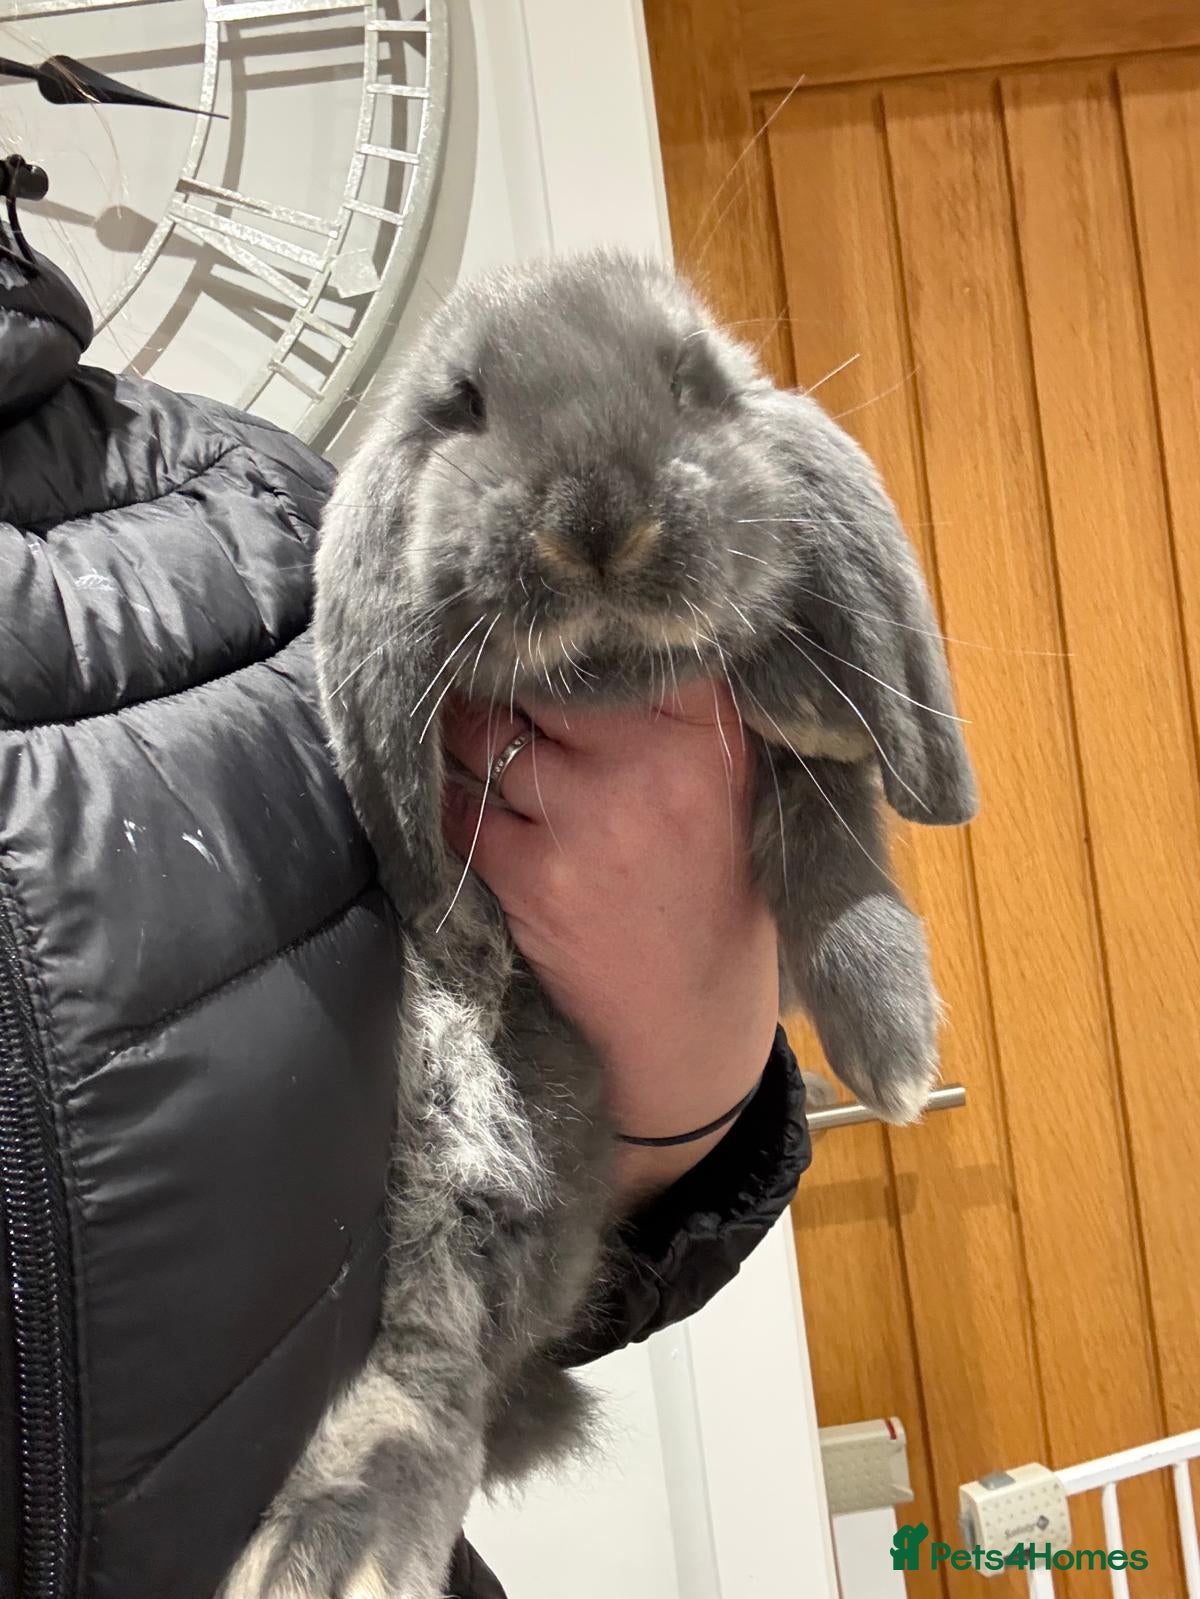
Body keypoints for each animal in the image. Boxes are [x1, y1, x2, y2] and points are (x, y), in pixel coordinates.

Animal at [220, 249, 976, 1599]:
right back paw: (335, 1550)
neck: (613, 683)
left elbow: (835, 847)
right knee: (428, 1364)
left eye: (693, 381)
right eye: (463, 403)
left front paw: (892, 1052)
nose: (596, 526)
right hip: (464, 1149)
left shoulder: (792, 788)